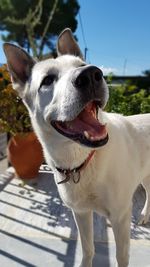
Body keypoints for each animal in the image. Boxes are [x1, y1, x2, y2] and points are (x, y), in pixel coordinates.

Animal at [3, 28, 150, 267]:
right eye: (48, 80)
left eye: (81, 64)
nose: (91, 74)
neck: (81, 160)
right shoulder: (80, 213)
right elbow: (88, 248)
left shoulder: (120, 216)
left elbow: (121, 256)